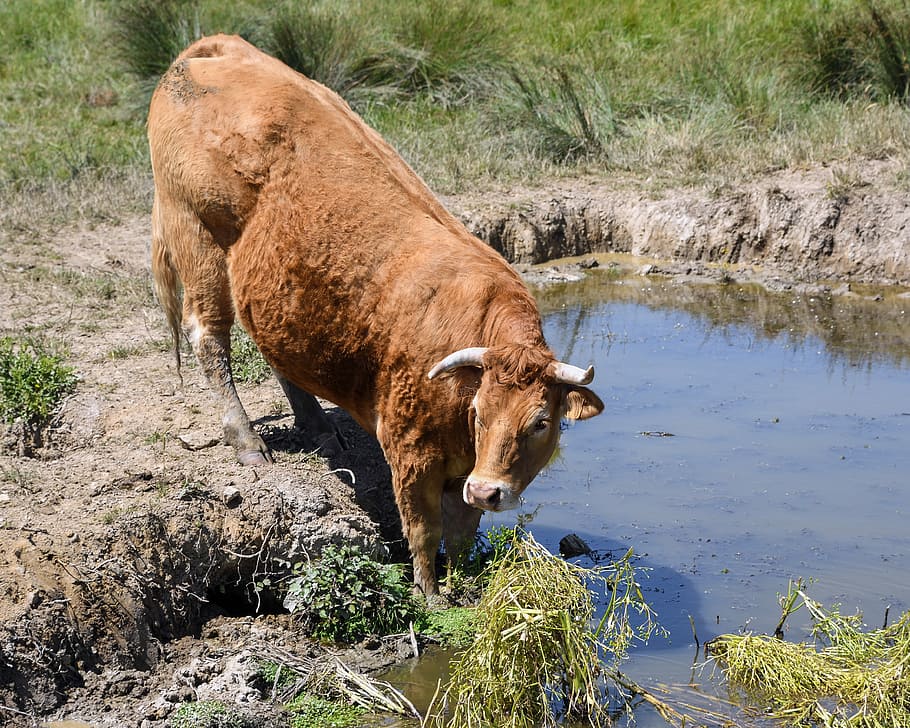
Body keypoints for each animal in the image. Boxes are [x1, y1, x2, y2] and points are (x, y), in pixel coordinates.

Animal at [150, 34, 604, 596]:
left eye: (541, 422)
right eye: (480, 412)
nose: (488, 490)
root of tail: (215, 47)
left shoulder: (462, 474)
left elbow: (461, 532)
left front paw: (465, 587)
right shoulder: (411, 456)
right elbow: (424, 532)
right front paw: (430, 596)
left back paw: (317, 425)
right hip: (197, 239)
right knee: (209, 339)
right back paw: (247, 441)